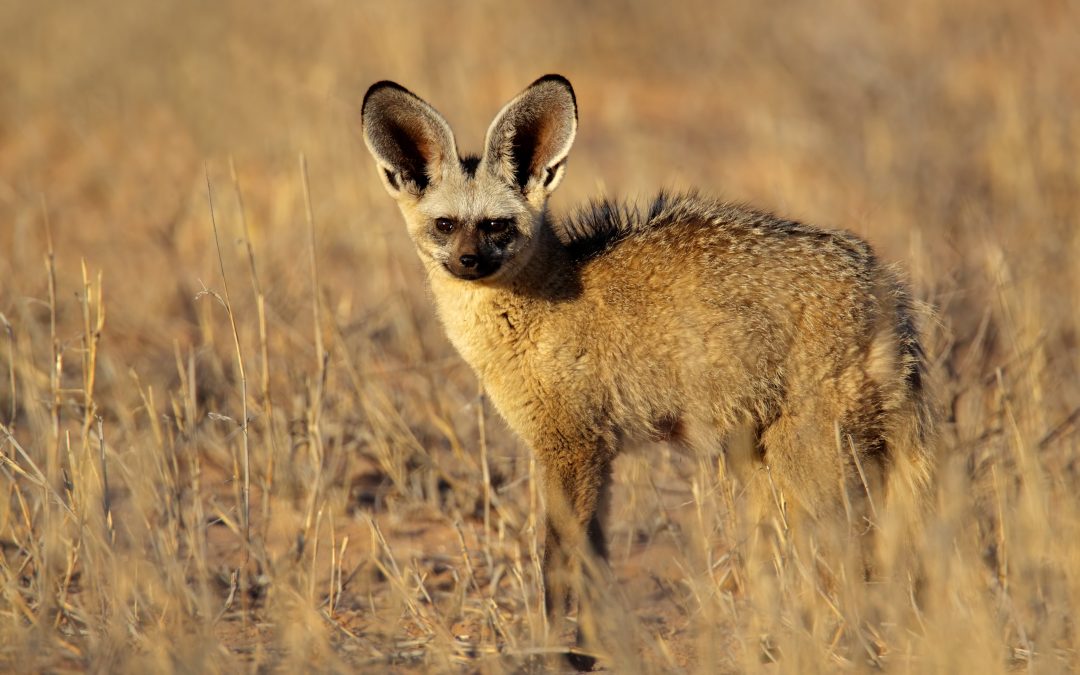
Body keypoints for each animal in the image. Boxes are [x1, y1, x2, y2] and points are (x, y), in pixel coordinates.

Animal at [361, 74, 935, 670]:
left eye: (497, 226)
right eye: (445, 226)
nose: (468, 263)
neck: (537, 310)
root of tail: (884, 282)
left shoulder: (571, 449)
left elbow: (557, 564)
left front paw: (550, 650)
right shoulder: (596, 455)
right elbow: (593, 562)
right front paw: (595, 648)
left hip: (811, 464)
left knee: (860, 558)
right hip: (770, 465)